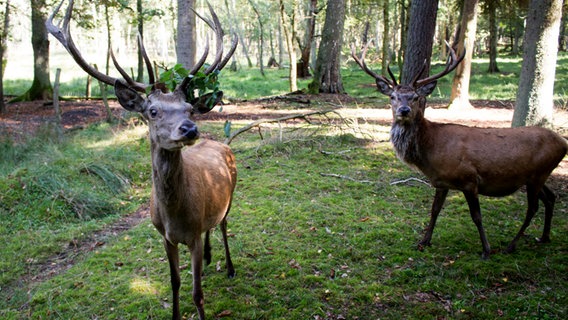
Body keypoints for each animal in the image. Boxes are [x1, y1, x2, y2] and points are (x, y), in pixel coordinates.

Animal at [46, 1, 237, 318]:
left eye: (189, 108)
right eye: (153, 111)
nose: (189, 129)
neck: (176, 218)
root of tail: (221, 144)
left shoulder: (193, 237)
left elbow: (197, 294)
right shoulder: (164, 236)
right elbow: (174, 283)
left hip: (232, 195)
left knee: (223, 225)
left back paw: (230, 267)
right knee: (212, 226)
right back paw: (212, 258)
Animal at [352, 41, 564, 258]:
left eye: (415, 97)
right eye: (393, 97)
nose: (404, 110)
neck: (430, 151)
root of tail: (563, 143)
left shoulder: (469, 179)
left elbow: (476, 216)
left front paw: (486, 249)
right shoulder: (441, 181)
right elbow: (434, 210)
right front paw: (424, 241)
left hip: (538, 174)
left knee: (533, 208)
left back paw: (511, 245)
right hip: (536, 176)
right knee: (550, 198)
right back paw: (544, 237)